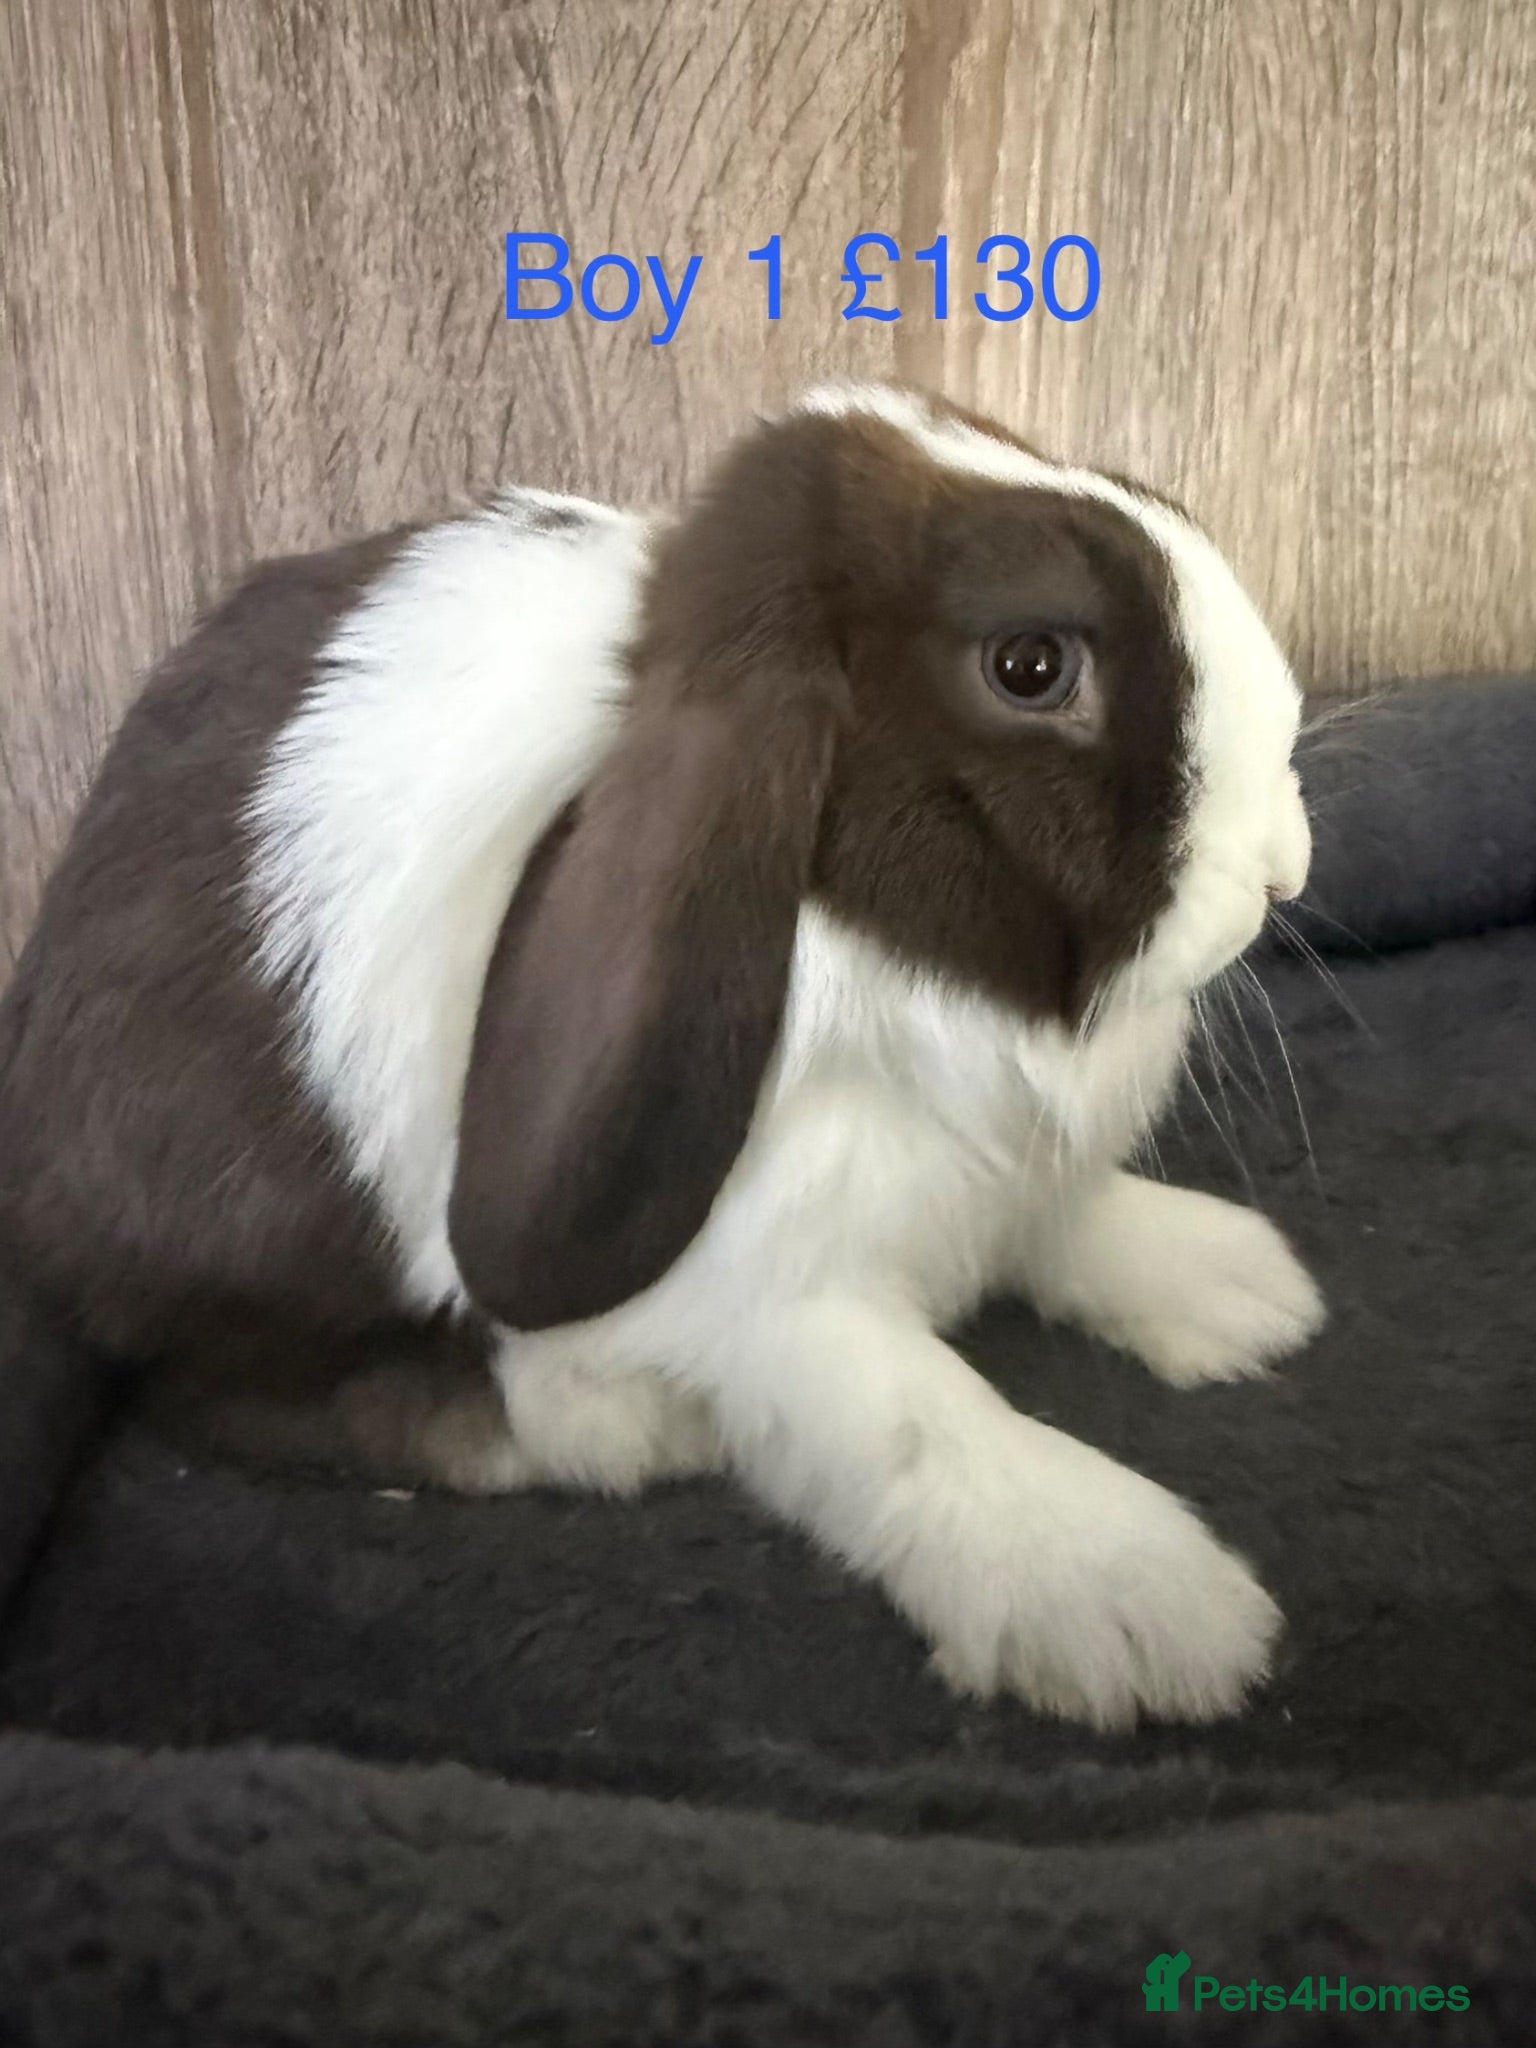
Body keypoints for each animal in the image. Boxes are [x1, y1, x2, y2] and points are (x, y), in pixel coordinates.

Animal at [0, 382, 1324, 1730]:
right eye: (1031, 666)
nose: (1286, 862)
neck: (873, 950)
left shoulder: (1001, 1174)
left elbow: (1068, 1221)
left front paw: (1239, 1288)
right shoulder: (774, 1298)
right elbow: (927, 1425)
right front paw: (1137, 1607)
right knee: (224, 1386)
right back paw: (604, 1421)